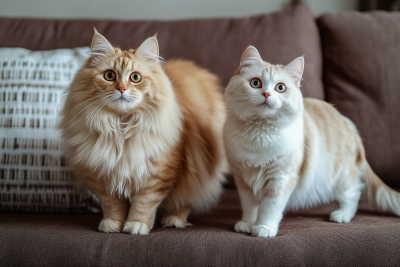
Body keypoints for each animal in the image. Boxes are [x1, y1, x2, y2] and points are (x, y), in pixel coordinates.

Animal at [60, 30, 227, 236]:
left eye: (135, 78)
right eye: (109, 75)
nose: (121, 89)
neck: (122, 127)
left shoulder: (158, 174)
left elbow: (144, 204)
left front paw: (136, 225)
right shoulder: (102, 176)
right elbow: (112, 205)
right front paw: (112, 224)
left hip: (198, 172)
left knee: (186, 200)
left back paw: (173, 220)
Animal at [223, 45, 400, 239]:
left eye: (280, 88)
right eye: (256, 83)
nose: (266, 93)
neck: (259, 133)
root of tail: (350, 126)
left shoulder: (281, 178)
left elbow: (269, 208)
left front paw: (264, 228)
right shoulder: (243, 180)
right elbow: (250, 207)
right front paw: (247, 224)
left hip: (341, 178)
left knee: (353, 195)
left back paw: (341, 215)